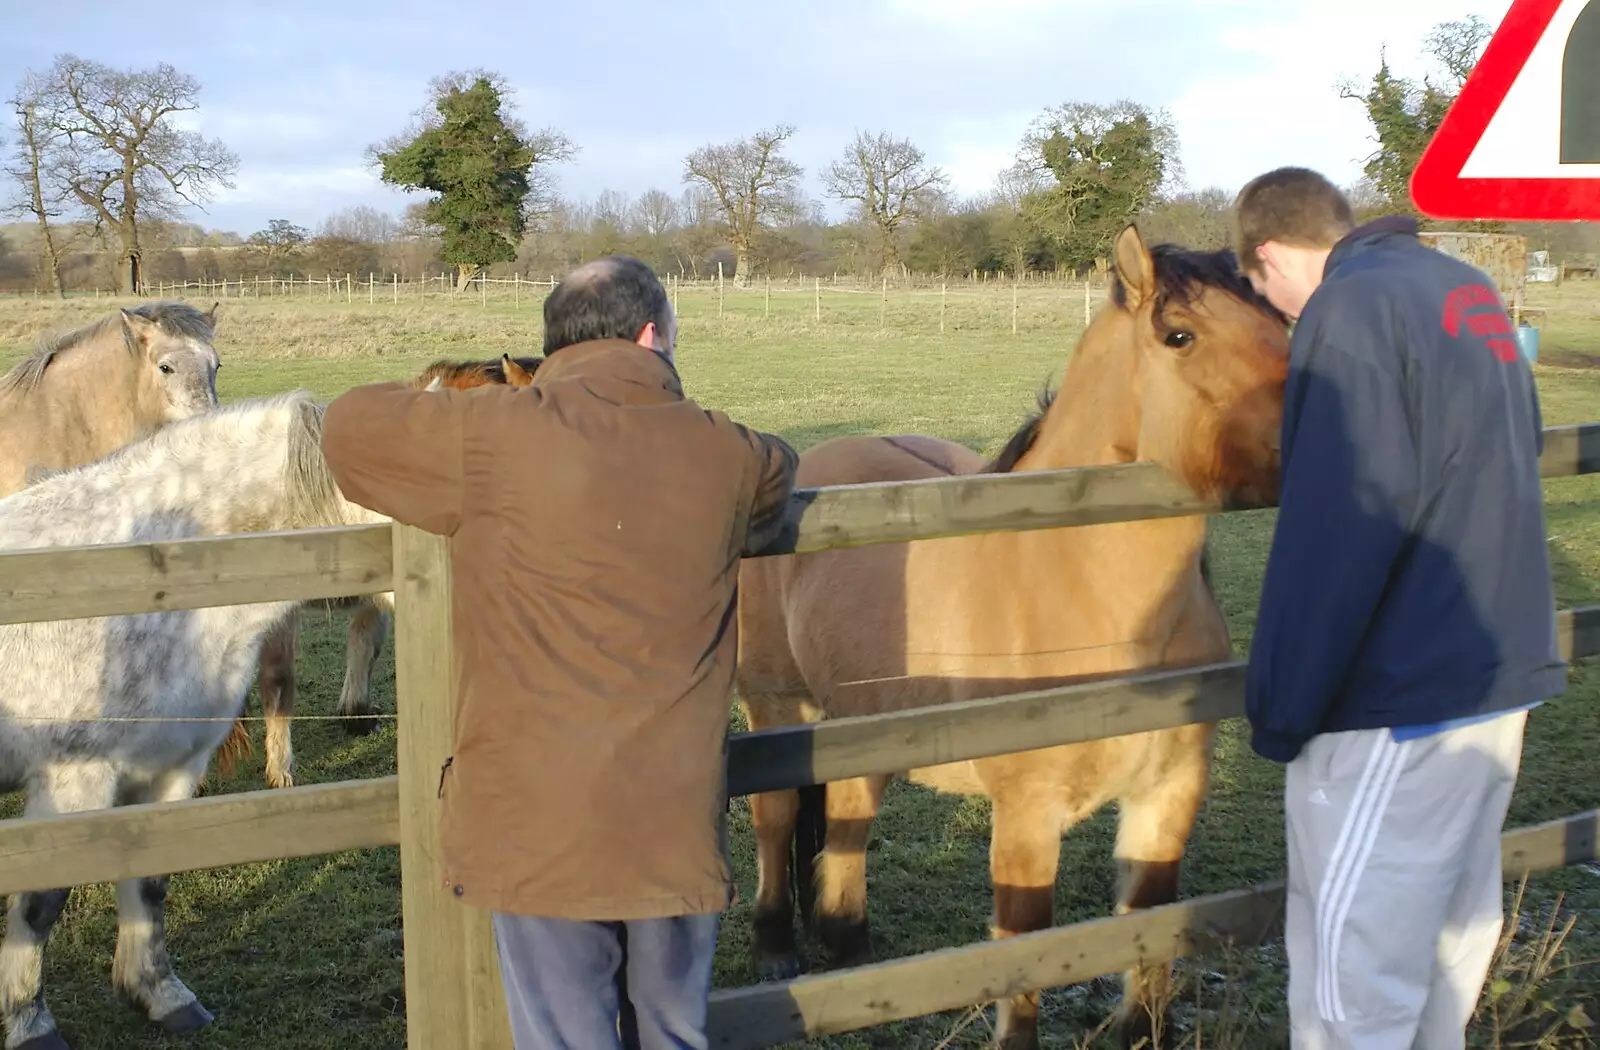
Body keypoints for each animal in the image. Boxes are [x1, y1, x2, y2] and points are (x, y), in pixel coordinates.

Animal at [0, 392, 388, 1050]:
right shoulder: (73, 781)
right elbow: (41, 901)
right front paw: (30, 1023)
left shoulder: (171, 768)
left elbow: (151, 882)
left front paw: (161, 996)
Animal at [732, 225, 1286, 1043]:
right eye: (1179, 335)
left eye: (1280, 320)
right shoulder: (1028, 814)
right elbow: (1024, 950)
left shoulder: (1168, 794)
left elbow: (1148, 928)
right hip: (777, 706)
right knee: (775, 821)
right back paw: (777, 947)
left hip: (864, 724)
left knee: (846, 822)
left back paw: (850, 949)